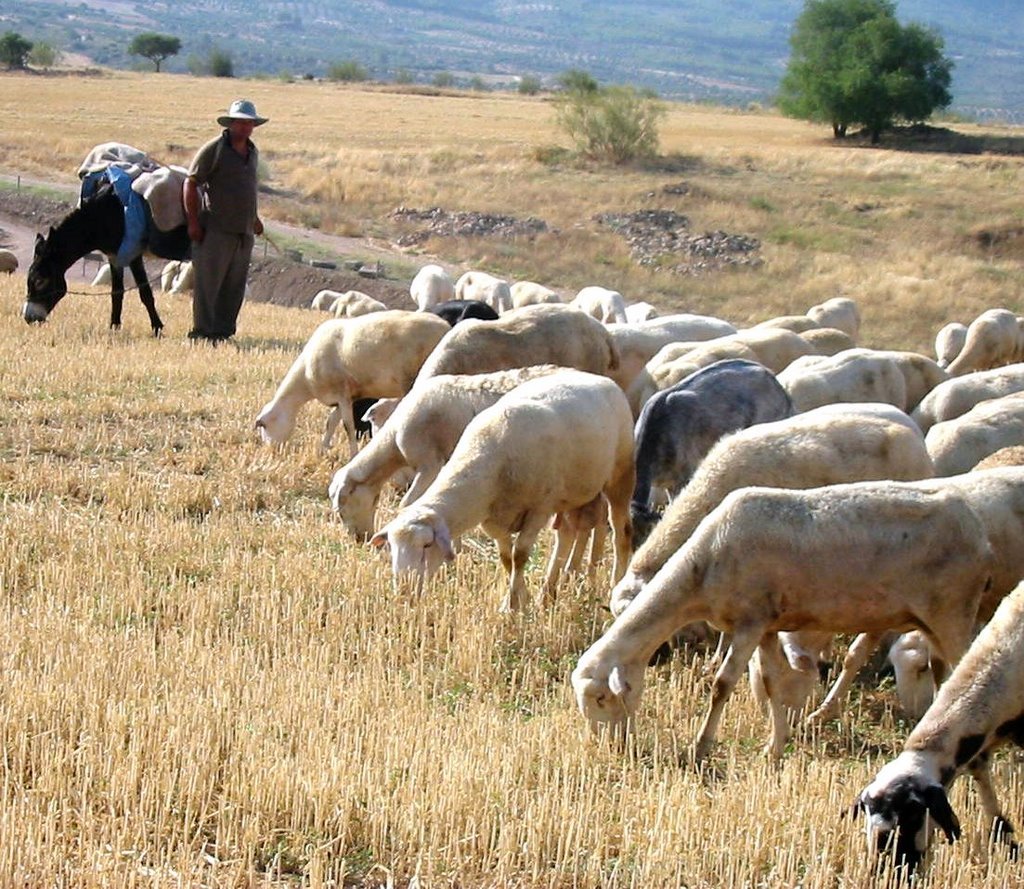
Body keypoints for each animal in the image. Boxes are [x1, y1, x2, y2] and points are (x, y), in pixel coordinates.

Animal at [255, 310, 450, 457]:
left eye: (263, 426)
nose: (271, 451)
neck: (305, 379)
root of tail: (446, 327)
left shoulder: (343, 394)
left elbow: (348, 427)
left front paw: (353, 454)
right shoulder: (342, 397)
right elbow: (331, 422)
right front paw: (322, 450)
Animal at [370, 370, 636, 612]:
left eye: (426, 545)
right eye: (392, 547)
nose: (404, 590)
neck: (489, 461)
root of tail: (601, 379)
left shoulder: (539, 509)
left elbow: (520, 555)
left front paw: (514, 605)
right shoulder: (492, 520)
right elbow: (507, 558)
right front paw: (517, 602)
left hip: (619, 476)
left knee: (620, 530)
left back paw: (615, 583)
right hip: (574, 490)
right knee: (568, 533)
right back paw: (548, 593)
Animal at [573, 480, 994, 763]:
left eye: (600, 698)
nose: (611, 746)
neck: (700, 571)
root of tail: (979, 534)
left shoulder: (750, 621)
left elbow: (722, 685)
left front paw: (701, 746)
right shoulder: (768, 625)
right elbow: (771, 682)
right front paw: (775, 746)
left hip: (954, 612)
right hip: (932, 620)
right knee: (943, 674)